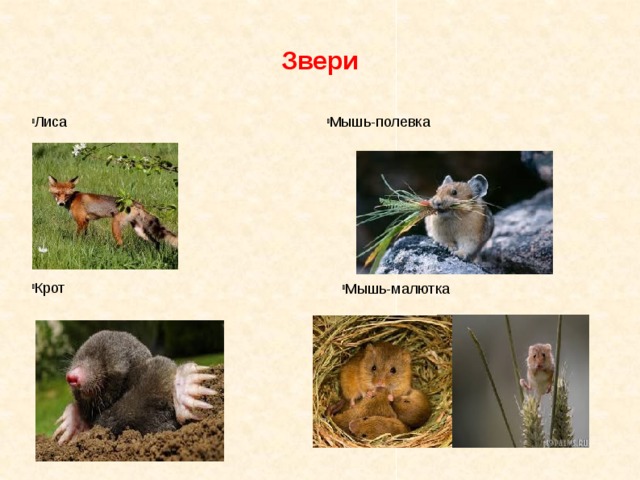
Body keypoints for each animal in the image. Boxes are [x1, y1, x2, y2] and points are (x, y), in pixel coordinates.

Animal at [47, 176, 178, 248]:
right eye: (57, 194)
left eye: (66, 195)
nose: (61, 203)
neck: (73, 199)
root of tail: (136, 203)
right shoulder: (86, 221)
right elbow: (84, 236)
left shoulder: (81, 221)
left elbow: (77, 237)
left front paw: (75, 245)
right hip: (139, 230)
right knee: (156, 243)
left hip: (115, 225)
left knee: (121, 244)